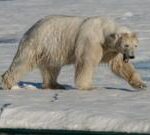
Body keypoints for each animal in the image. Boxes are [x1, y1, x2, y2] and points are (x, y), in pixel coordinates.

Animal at [0, 15, 146, 90]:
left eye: (135, 45)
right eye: (126, 45)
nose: (132, 56)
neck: (103, 31)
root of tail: (31, 28)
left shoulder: (111, 50)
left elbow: (120, 66)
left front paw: (141, 84)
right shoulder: (91, 42)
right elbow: (86, 63)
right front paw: (88, 86)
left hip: (51, 51)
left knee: (51, 68)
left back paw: (56, 85)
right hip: (38, 44)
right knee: (22, 63)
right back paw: (8, 83)